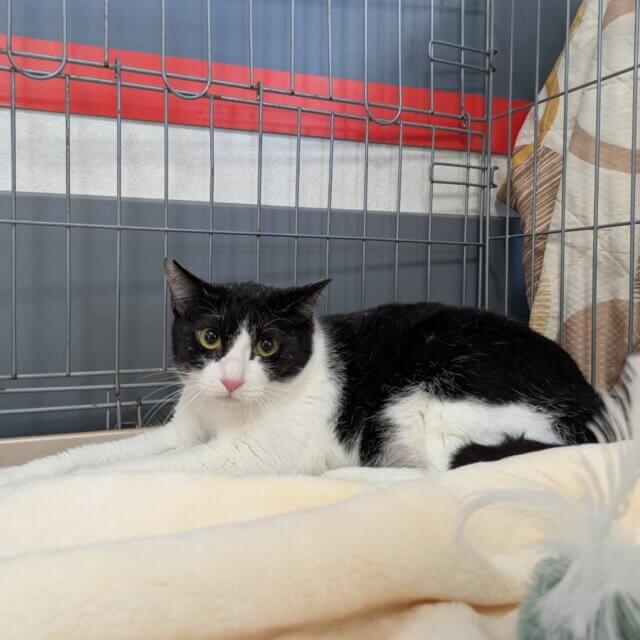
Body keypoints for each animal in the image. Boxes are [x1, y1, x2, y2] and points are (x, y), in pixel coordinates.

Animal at [0, 258, 602, 485]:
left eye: (267, 345)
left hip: (433, 398)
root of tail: (590, 405)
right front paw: (26, 476)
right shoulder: (185, 426)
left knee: (444, 473)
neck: (226, 414)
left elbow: (146, 468)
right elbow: (98, 454)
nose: (231, 379)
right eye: (210, 338)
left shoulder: (254, 454)